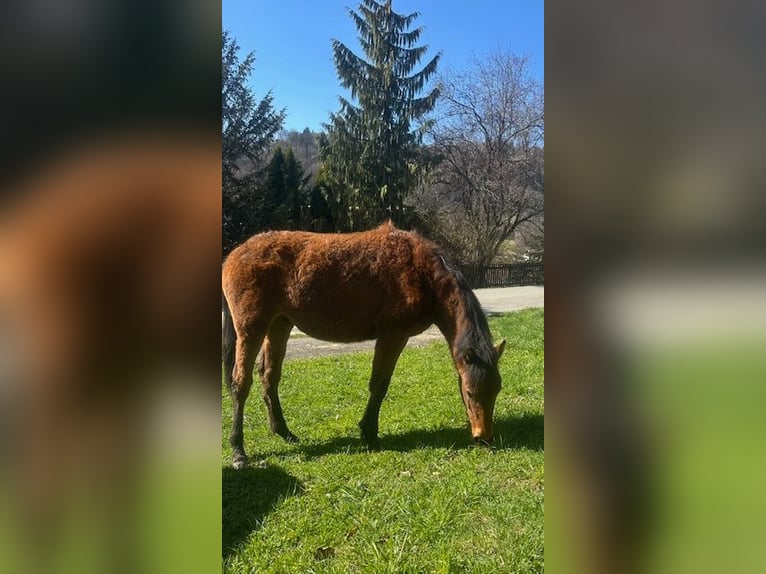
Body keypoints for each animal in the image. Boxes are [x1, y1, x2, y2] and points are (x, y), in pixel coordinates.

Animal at [221, 222, 506, 468]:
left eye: (496, 390)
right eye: (469, 392)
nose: (484, 437)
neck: (422, 272)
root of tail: (234, 255)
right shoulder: (393, 335)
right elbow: (379, 384)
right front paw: (369, 432)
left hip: (279, 324)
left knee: (269, 377)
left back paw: (283, 431)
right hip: (251, 330)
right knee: (240, 383)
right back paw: (238, 450)